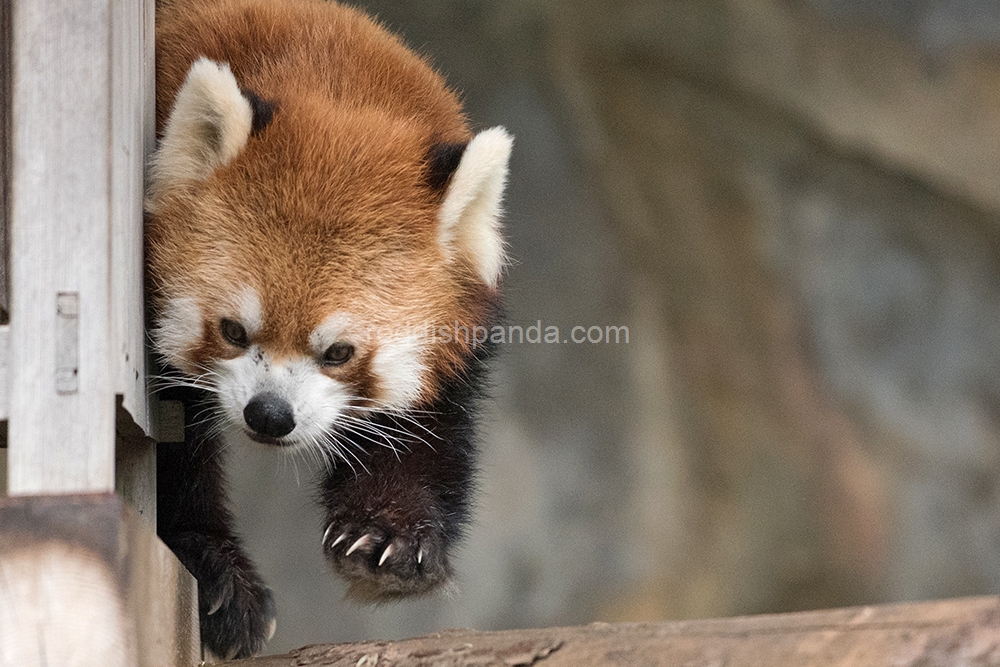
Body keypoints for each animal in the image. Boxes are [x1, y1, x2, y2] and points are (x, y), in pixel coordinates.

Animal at [146, 0, 516, 656]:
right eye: (233, 331)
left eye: (339, 352)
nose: (269, 415)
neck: (328, 73)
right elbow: (173, 454)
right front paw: (217, 576)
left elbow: (423, 431)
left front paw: (390, 539)